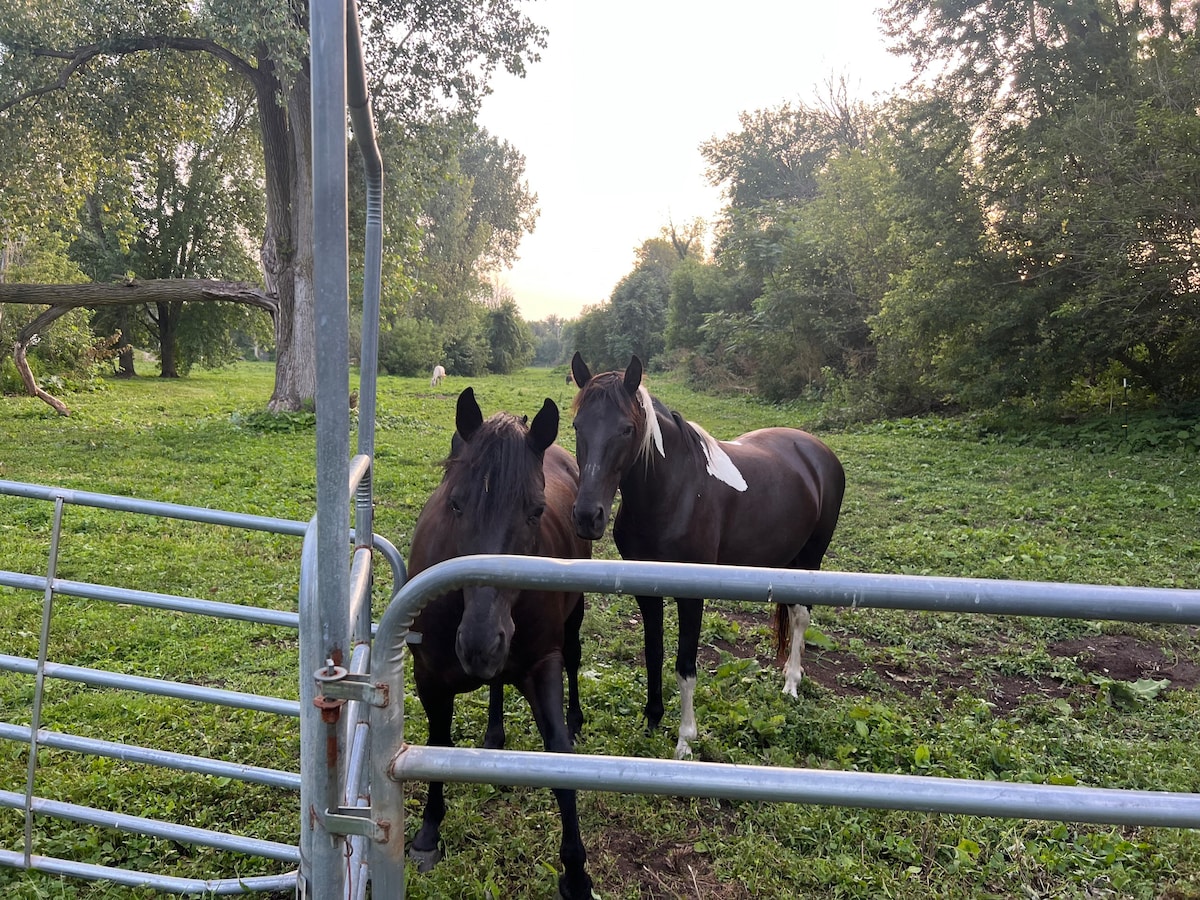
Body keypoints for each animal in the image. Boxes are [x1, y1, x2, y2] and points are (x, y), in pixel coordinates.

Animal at [408, 388, 595, 900]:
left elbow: (560, 756)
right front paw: (428, 833)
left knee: (573, 660)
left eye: (535, 510)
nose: (480, 644)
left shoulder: (543, 665)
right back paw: (494, 733)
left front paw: (576, 873)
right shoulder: (429, 677)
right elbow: (438, 745)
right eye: (455, 504)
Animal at [568, 355, 844, 763]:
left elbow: (685, 665)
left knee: (801, 617)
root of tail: (817, 450)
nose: (588, 516)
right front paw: (652, 722)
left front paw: (685, 740)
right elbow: (654, 652)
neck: (674, 493)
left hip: (811, 559)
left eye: (627, 429)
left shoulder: (691, 595)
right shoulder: (645, 590)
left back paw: (792, 684)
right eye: (576, 426)